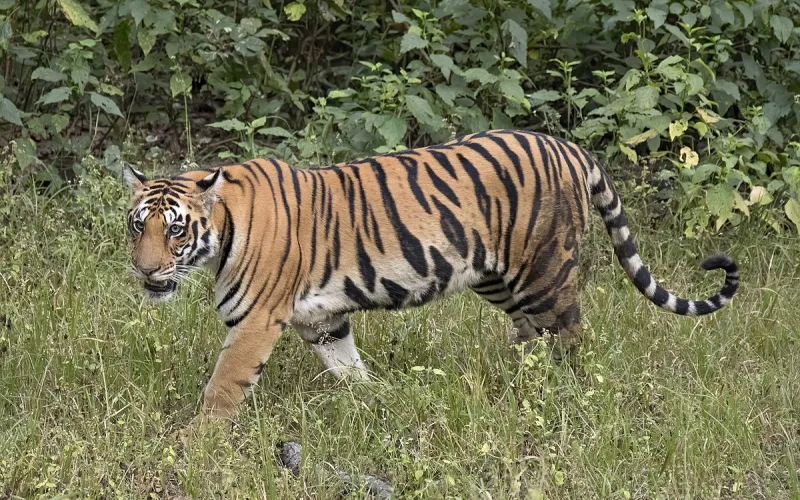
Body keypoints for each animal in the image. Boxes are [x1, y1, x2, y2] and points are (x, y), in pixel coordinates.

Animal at [122, 129, 739, 421]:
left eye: (175, 230)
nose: (145, 271)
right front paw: (374, 402)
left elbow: (223, 387)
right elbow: (348, 367)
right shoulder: (322, 319)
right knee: (530, 335)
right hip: (498, 277)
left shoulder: (255, 322)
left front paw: (199, 444)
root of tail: (567, 146)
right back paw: (517, 383)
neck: (221, 232)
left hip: (545, 272)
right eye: (137, 226)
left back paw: (568, 395)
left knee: (572, 336)